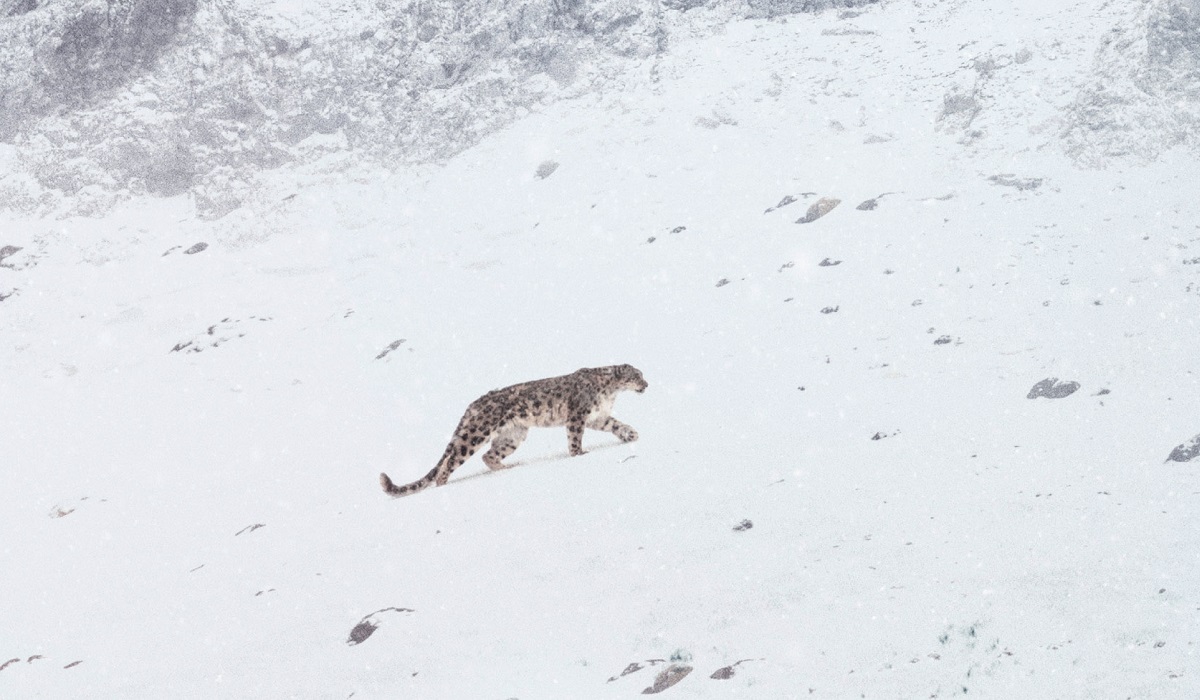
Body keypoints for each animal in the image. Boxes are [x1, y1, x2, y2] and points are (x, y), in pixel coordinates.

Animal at [381, 365, 648, 494]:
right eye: (637, 376)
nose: (646, 384)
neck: (610, 391)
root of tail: (472, 405)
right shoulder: (578, 415)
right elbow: (575, 439)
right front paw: (579, 455)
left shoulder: (597, 417)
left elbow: (615, 424)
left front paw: (631, 434)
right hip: (476, 434)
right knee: (452, 459)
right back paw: (443, 483)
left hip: (513, 436)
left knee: (489, 455)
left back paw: (508, 468)